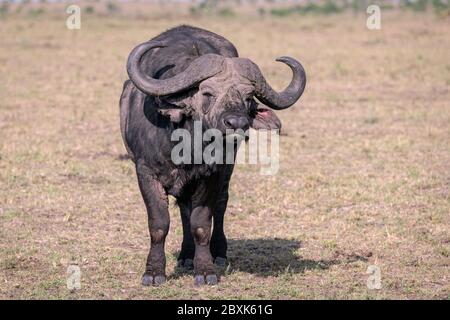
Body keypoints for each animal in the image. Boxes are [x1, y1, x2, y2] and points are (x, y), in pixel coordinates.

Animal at [119, 25, 306, 284]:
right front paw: (154, 273)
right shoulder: (146, 172)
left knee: (219, 205)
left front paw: (205, 270)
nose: (237, 123)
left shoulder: (213, 174)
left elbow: (201, 223)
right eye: (207, 93)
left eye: (248, 97)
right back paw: (186, 256)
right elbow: (159, 224)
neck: (188, 147)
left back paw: (216, 253)